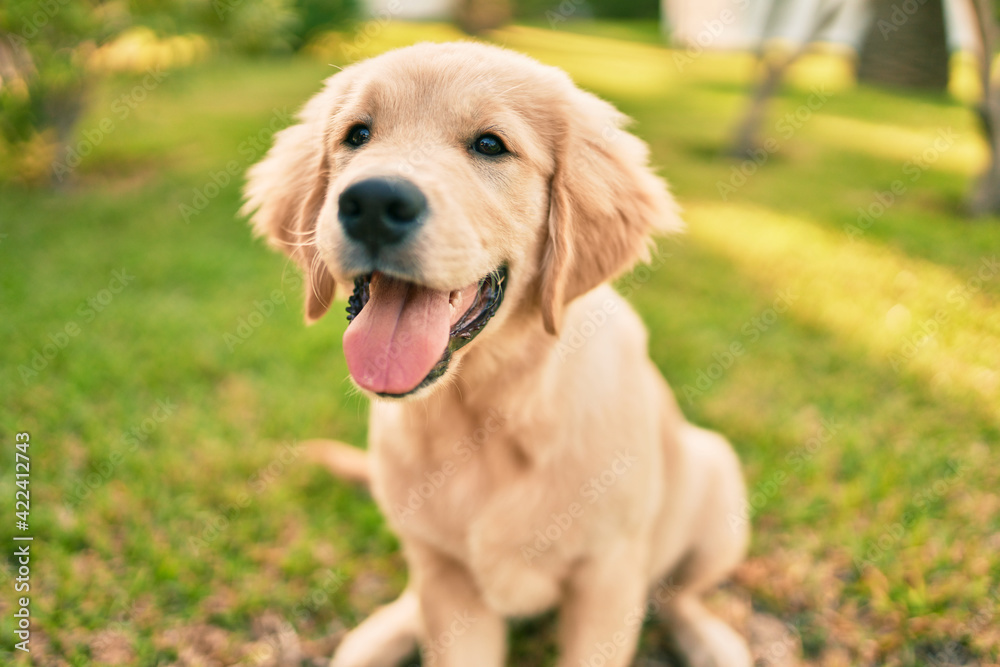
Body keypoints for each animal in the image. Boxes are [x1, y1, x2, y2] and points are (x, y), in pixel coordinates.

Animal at [244, 41, 752, 667]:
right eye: (357, 134)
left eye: (490, 145)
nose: (373, 201)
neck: (486, 409)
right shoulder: (451, 582)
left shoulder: (606, 576)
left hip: (717, 483)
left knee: (680, 594)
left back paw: (712, 642)